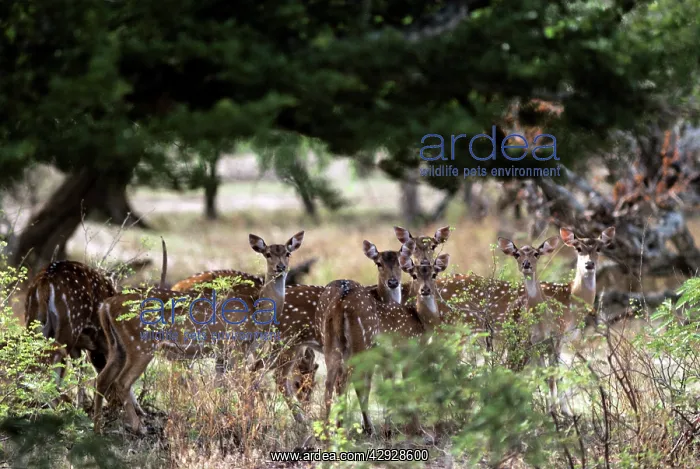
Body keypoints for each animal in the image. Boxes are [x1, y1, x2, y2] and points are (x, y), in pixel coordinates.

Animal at [93, 231, 305, 434]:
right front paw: (248, 423)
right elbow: (242, 387)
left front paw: (222, 418)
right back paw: (139, 428)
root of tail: (106, 305)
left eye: (288, 253)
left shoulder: (224, 352)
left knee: (102, 379)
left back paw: (97, 428)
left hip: (118, 346)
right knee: (121, 382)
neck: (257, 313)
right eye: (267, 254)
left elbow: (221, 387)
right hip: (140, 344)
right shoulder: (236, 346)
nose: (280, 267)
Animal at [319, 239, 449, 435]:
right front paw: (416, 429)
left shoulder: (387, 358)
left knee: (329, 383)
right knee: (344, 381)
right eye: (414, 276)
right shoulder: (405, 354)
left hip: (330, 344)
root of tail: (340, 303)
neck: (421, 322)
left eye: (434, 274)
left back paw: (325, 433)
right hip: (360, 344)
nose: (425, 290)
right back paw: (342, 430)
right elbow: (407, 386)